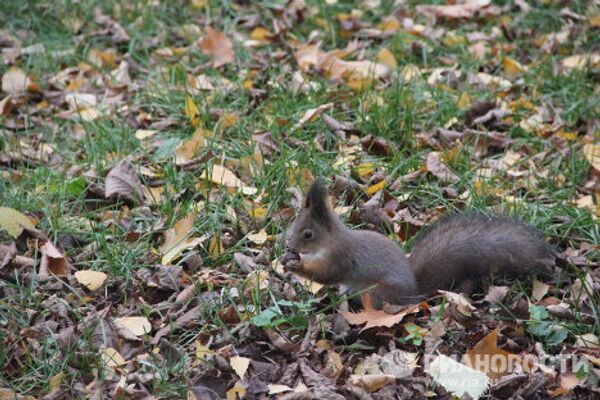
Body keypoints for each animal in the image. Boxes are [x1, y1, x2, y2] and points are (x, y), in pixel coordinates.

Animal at [278, 179, 556, 310]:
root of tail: (414, 292)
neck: (331, 239)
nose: (288, 245)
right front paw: (287, 260)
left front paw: (295, 266)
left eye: (307, 234)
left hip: (376, 292)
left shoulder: (340, 256)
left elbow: (325, 274)